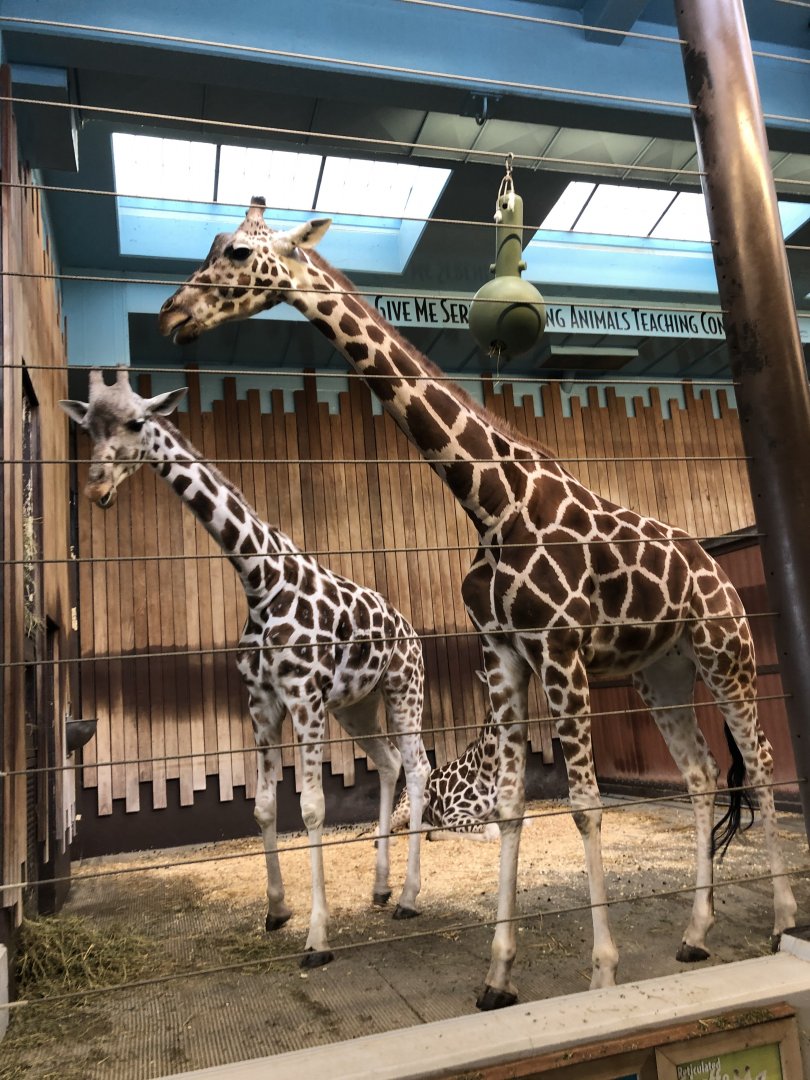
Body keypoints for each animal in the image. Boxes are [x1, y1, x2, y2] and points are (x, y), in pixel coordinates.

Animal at [59, 368, 430, 968]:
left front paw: (317, 939)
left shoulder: (303, 698)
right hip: (356, 706)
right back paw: (380, 888)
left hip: (403, 691)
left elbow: (311, 807)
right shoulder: (261, 702)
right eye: (88, 427)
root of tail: (413, 631)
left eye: (137, 423)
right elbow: (261, 805)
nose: (95, 490)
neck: (259, 579)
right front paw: (276, 911)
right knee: (389, 762)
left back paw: (410, 898)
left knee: (417, 767)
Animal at [158, 198, 798, 1008]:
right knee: (702, 774)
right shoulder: (503, 654)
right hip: (663, 672)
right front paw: (497, 975)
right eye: (212, 243)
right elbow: (512, 805)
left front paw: (602, 970)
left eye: (239, 252)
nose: (172, 314)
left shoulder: (559, 649)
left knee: (763, 757)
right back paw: (695, 934)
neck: (491, 505)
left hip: (727, 653)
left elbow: (585, 805)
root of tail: (719, 571)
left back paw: (781, 921)